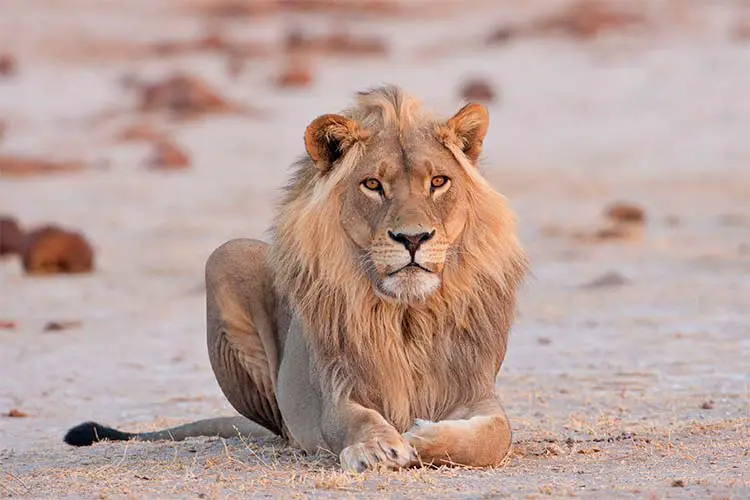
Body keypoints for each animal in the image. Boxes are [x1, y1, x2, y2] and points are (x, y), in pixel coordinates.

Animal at [67, 86, 532, 472]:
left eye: (438, 181)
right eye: (372, 184)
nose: (413, 238)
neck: (407, 315)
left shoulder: (476, 390)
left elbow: (495, 436)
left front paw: (420, 437)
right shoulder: (337, 389)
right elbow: (355, 419)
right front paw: (378, 447)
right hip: (226, 257)